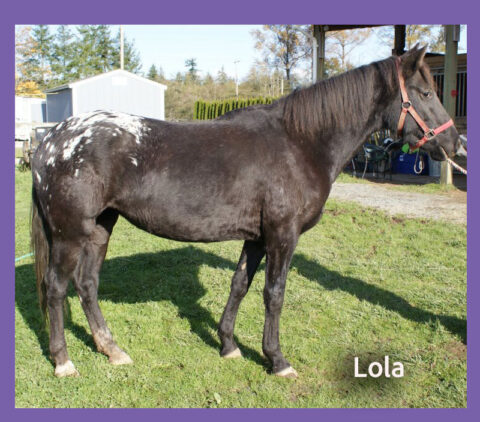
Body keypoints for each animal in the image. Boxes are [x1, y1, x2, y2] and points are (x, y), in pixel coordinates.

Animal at [31, 46, 462, 378]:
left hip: (100, 227)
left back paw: (113, 350)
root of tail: (52, 140)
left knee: (87, 284)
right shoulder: (283, 235)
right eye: (425, 92)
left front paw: (228, 345)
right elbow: (275, 294)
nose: (455, 145)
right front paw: (277, 360)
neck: (299, 142)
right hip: (70, 233)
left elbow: (239, 284)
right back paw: (64, 362)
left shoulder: (256, 238)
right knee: (55, 287)